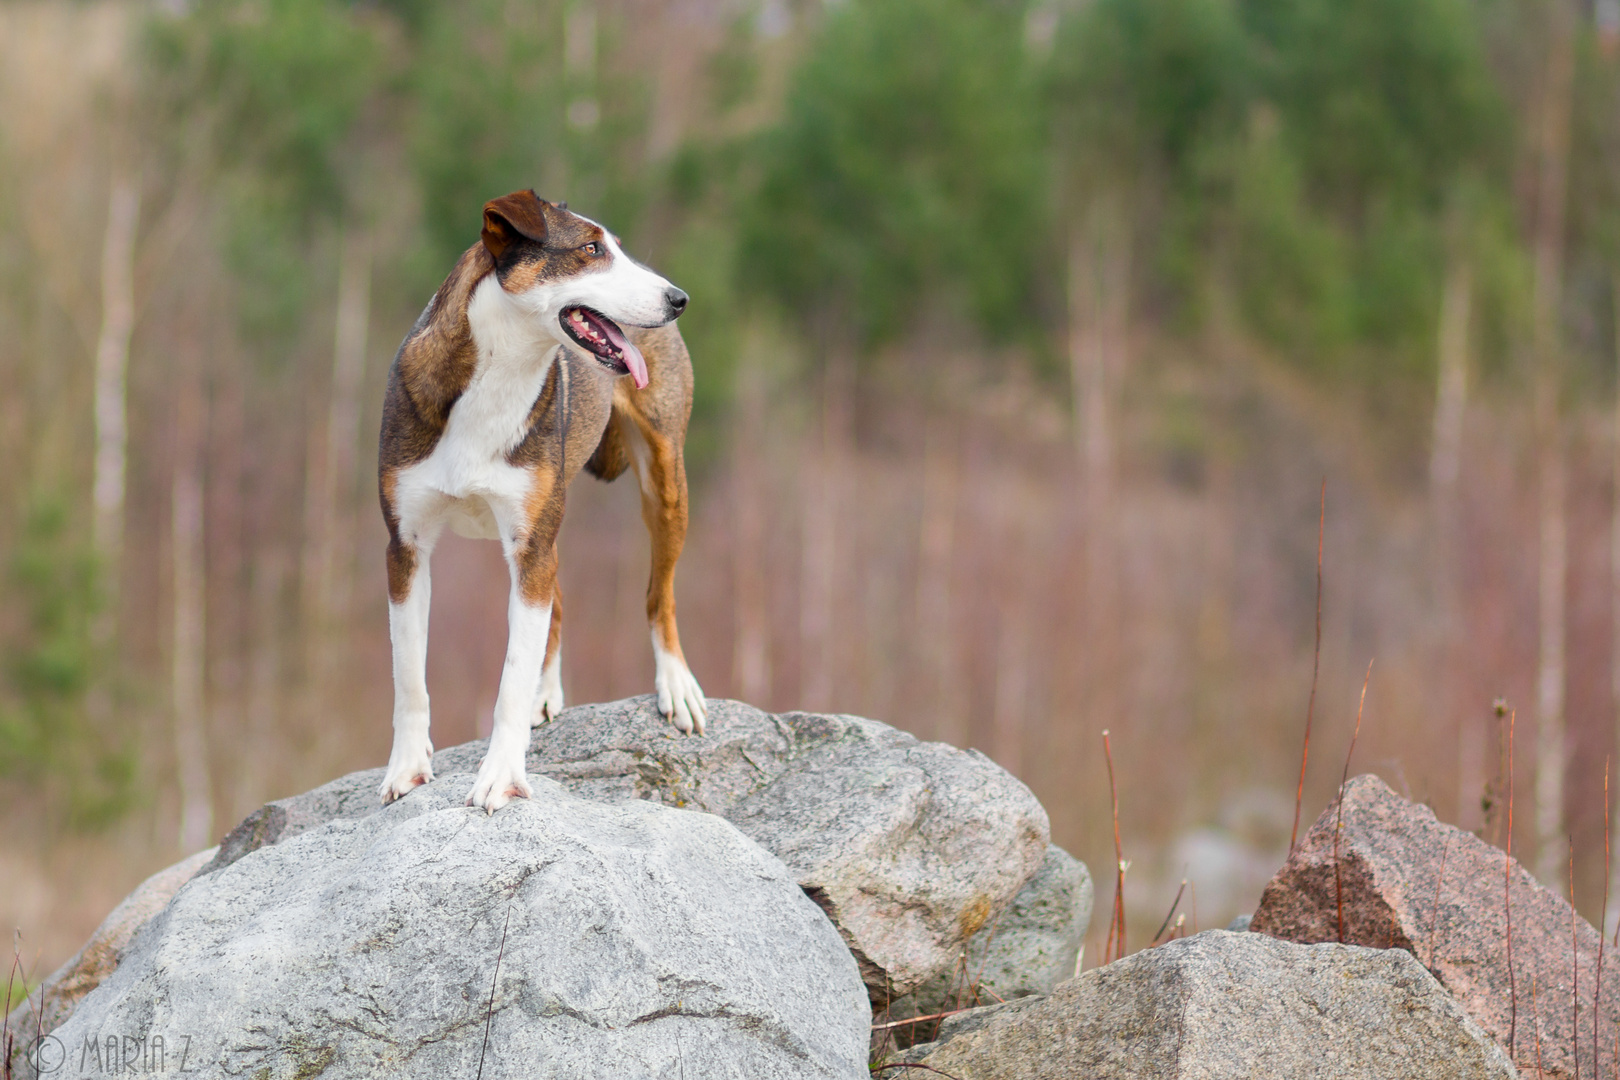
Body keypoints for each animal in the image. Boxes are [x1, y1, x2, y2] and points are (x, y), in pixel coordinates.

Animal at [382, 190, 712, 809]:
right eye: (590, 250)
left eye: (616, 249)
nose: (679, 299)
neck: (497, 375)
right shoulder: (406, 547)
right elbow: (410, 674)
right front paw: (408, 769)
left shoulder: (530, 542)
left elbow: (510, 677)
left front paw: (501, 777)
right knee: (556, 604)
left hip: (664, 484)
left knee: (660, 596)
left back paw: (676, 685)